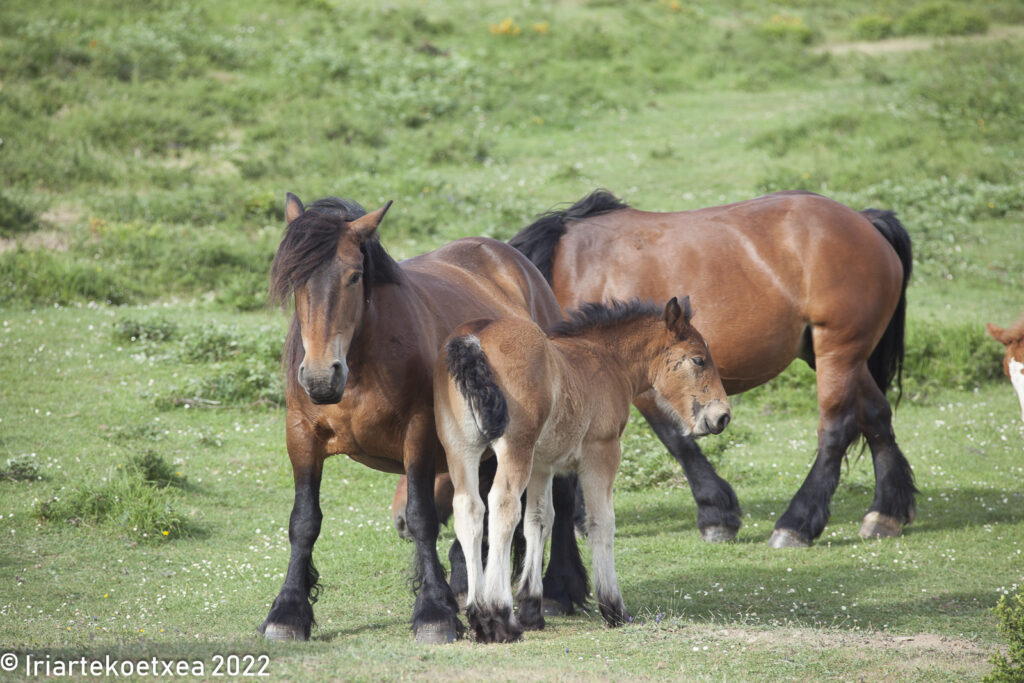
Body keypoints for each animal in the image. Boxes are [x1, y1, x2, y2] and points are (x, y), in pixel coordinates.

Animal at [260, 193, 565, 647]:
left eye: (354, 276)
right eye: (296, 281)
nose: (320, 377)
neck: (362, 364)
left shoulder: (417, 435)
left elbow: (422, 518)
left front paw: (434, 613)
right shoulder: (301, 437)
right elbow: (303, 521)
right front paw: (288, 612)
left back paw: (556, 594)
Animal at [436, 299, 733, 643]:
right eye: (699, 359)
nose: (722, 416)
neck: (607, 359)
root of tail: (474, 338)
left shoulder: (542, 463)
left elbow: (539, 520)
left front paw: (532, 610)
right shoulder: (601, 452)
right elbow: (601, 521)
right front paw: (614, 608)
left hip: (460, 449)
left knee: (468, 510)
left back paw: (477, 615)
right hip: (515, 447)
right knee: (503, 506)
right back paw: (499, 617)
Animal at [507, 189, 917, 548]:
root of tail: (864, 221)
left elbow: (676, 440)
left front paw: (716, 515)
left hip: (838, 350)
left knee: (836, 427)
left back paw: (797, 524)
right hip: (835, 354)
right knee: (876, 415)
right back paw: (886, 513)